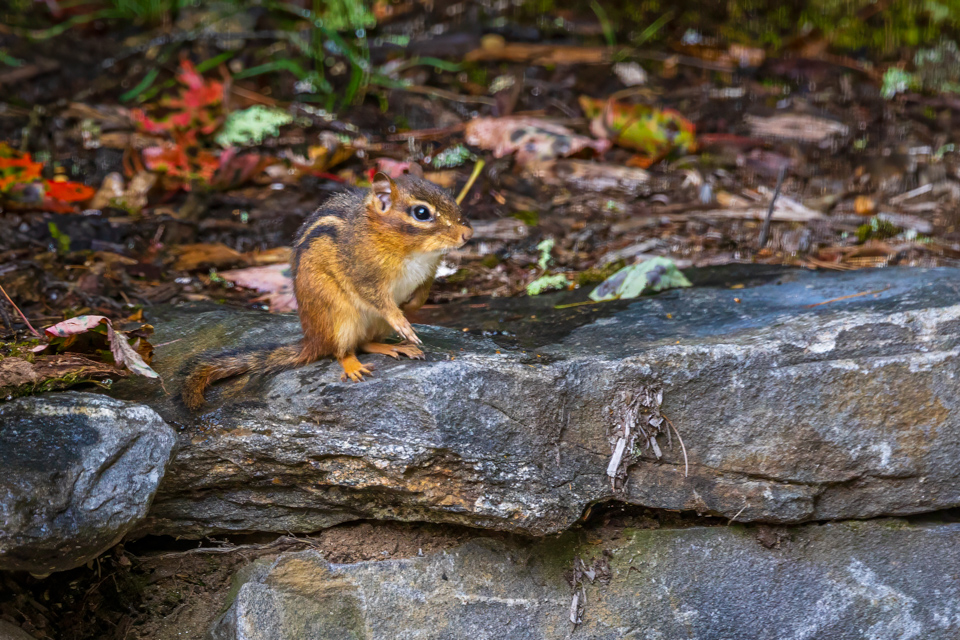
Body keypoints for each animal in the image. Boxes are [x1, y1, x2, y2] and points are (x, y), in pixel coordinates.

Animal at [181, 168, 473, 410]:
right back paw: (354, 365)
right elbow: (379, 300)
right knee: (342, 350)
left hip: (369, 324)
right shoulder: (363, 275)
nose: (468, 235)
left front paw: (412, 306)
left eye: (450, 198)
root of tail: (312, 339)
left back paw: (398, 347)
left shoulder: (429, 272)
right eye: (421, 213)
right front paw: (402, 320)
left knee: (365, 342)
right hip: (340, 317)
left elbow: (423, 289)